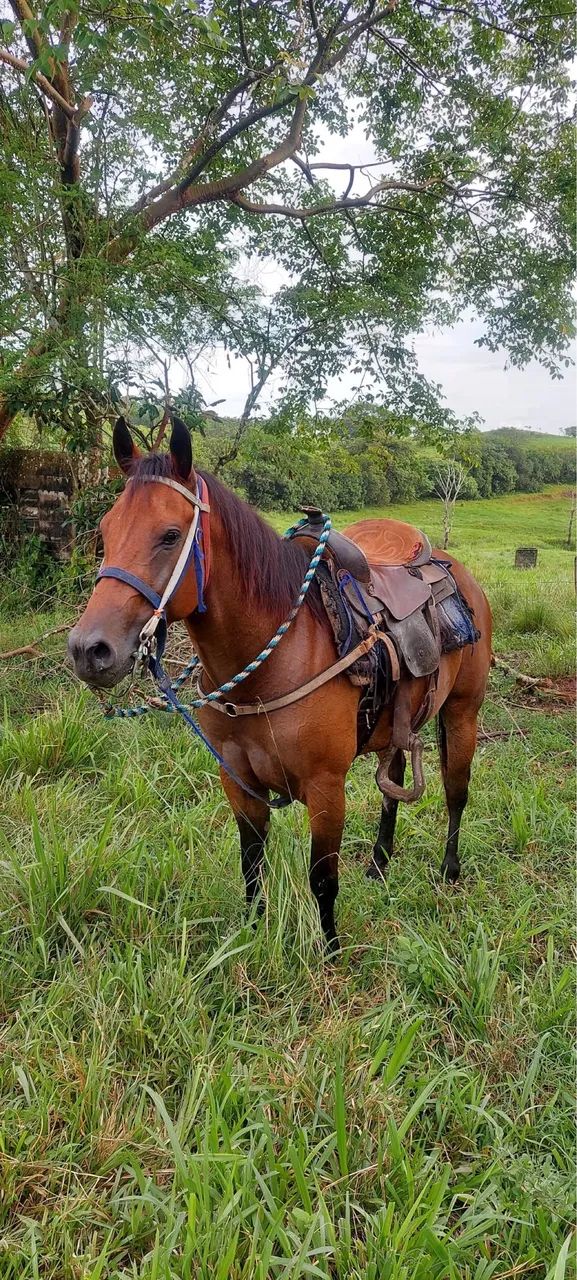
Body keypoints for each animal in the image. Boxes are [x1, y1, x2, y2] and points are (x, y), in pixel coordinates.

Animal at [68, 417, 492, 953]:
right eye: (105, 531)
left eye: (169, 535)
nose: (89, 649)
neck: (269, 668)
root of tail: (455, 569)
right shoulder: (239, 782)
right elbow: (251, 867)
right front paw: (250, 936)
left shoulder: (327, 788)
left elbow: (323, 879)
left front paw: (331, 953)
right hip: (397, 724)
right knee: (392, 782)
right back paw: (379, 864)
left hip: (462, 712)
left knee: (456, 791)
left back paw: (449, 871)